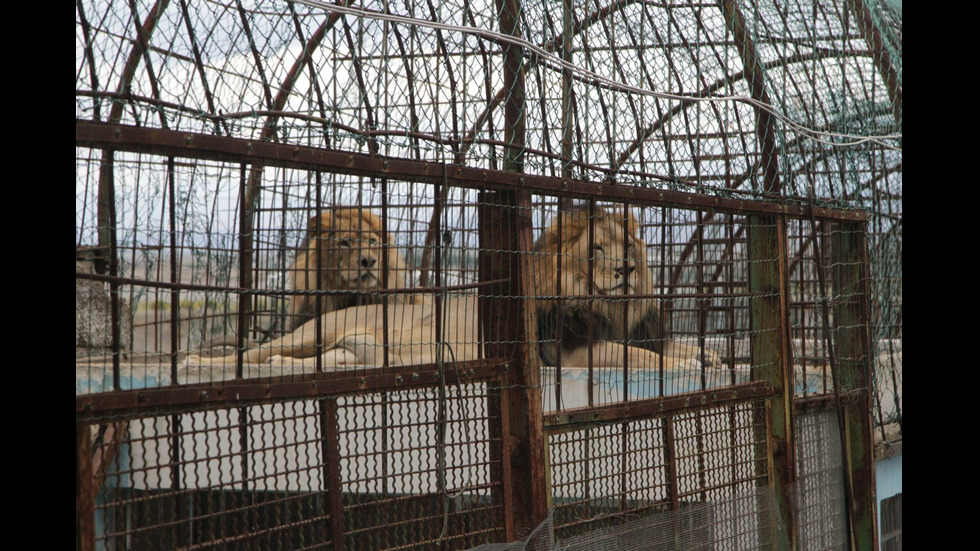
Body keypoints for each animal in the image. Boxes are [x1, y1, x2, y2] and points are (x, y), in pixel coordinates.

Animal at [188, 207, 716, 370]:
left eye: (626, 246)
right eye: (597, 250)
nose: (625, 268)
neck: (610, 307)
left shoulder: (640, 331)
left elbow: (668, 345)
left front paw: (707, 355)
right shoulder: (570, 353)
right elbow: (641, 357)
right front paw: (688, 364)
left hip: (348, 351)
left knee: (312, 360)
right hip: (315, 331)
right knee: (257, 353)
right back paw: (195, 361)